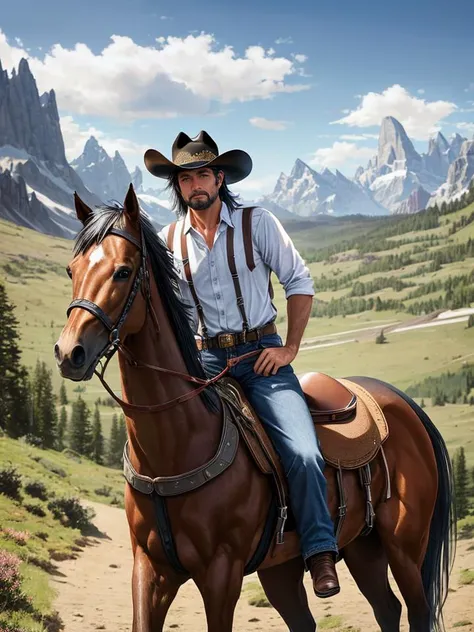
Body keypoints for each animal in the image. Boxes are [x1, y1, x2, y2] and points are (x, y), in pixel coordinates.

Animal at [54, 186, 456, 632]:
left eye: (123, 271)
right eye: (72, 270)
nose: (69, 353)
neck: (177, 445)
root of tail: (400, 402)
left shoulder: (221, 574)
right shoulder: (149, 570)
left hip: (404, 547)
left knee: (415, 610)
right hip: (348, 551)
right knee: (383, 609)